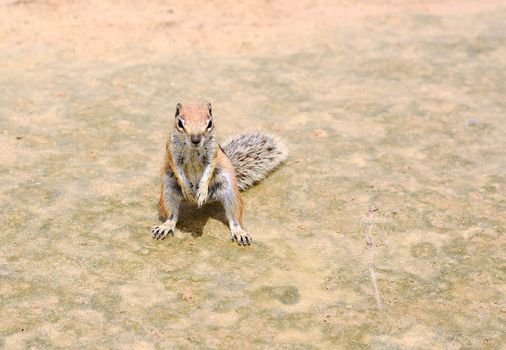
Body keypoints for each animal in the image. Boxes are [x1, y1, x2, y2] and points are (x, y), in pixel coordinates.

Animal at [150, 102, 286, 246]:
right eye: (180, 123)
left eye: (209, 123)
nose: (195, 139)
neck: (194, 148)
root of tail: (211, 199)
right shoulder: (172, 151)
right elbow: (177, 168)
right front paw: (187, 188)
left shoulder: (212, 152)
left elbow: (208, 171)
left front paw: (202, 191)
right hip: (168, 189)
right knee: (172, 215)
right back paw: (165, 226)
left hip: (230, 190)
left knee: (234, 217)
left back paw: (239, 232)